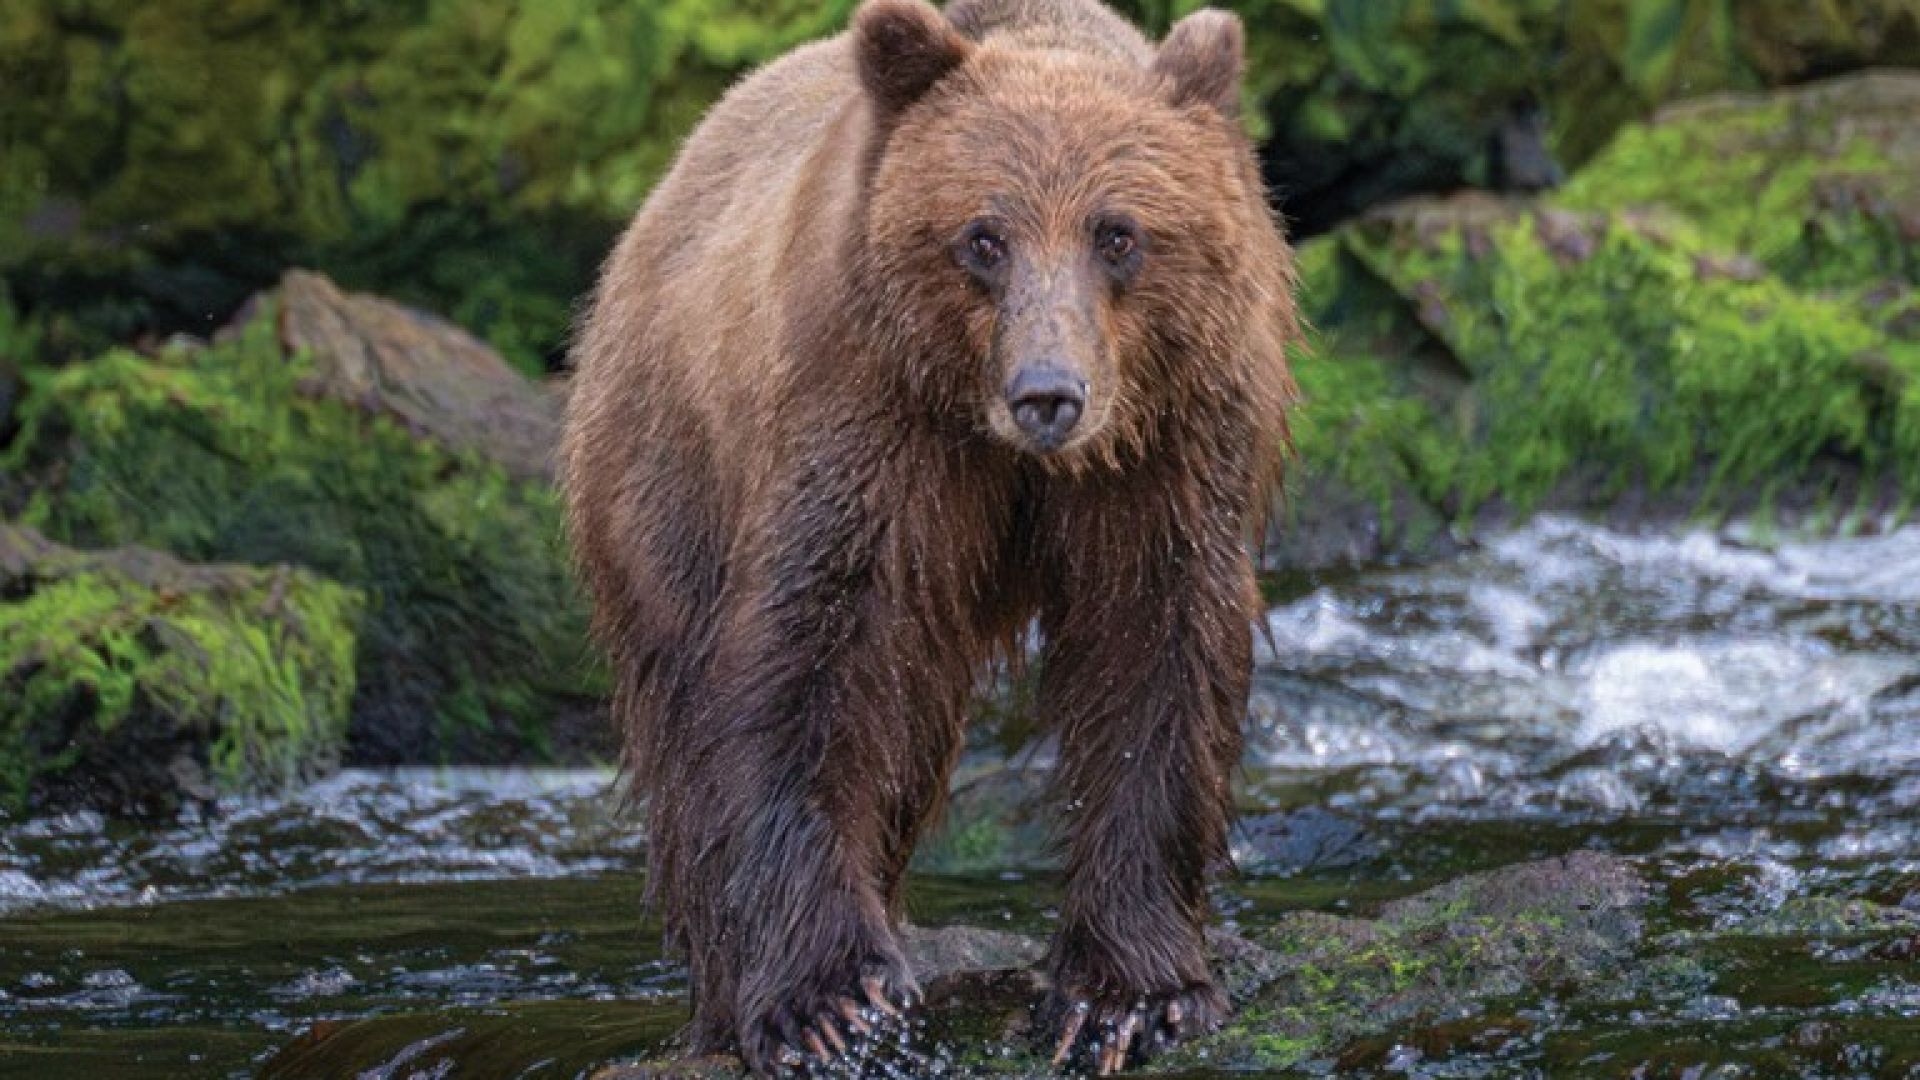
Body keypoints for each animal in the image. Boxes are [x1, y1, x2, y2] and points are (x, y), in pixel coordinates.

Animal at [561, 0, 1297, 1073]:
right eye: (983, 237)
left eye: (1117, 233)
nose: (1048, 394)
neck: (1005, 448)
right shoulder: (868, 418)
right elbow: (809, 660)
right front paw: (827, 999)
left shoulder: (1169, 441)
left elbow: (1157, 653)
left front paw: (1128, 995)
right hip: (663, 471)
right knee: (694, 725)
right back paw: (725, 992)